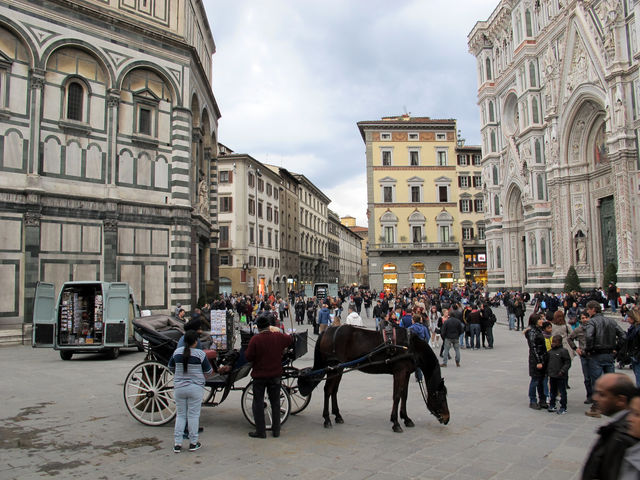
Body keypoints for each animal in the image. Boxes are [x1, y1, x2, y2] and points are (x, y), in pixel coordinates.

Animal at [302, 324, 448, 434]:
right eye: (441, 396)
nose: (447, 418)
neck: (412, 347)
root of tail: (326, 330)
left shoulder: (406, 373)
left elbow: (404, 395)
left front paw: (406, 418)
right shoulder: (399, 372)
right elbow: (396, 396)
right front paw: (396, 423)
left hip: (339, 368)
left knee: (334, 390)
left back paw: (337, 416)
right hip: (334, 367)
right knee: (328, 390)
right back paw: (327, 419)